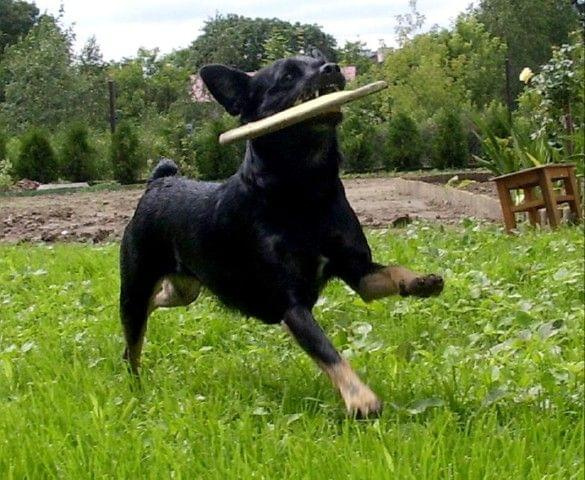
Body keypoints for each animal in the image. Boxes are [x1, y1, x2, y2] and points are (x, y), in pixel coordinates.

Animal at [122, 52, 442, 416]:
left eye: (320, 58)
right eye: (287, 76)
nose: (332, 68)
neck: (307, 192)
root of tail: (157, 182)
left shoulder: (358, 273)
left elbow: (393, 271)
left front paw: (420, 281)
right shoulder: (292, 307)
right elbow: (328, 352)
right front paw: (361, 398)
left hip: (185, 288)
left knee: (160, 300)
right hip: (135, 289)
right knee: (134, 341)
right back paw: (136, 388)